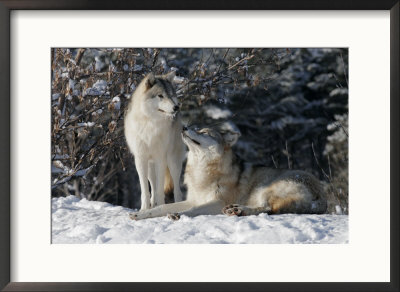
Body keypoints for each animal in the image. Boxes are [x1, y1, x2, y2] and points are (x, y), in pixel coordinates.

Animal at [124, 72, 185, 211]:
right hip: (150, 165)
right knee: (153, 185)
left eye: (171, 94)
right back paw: (153, 205)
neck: (150, 123)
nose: (176, 107)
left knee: (176, 189)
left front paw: (161, 207)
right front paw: (144, 209)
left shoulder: (160, 158)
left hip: (172, 162)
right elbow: (145, 190)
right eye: (160, 96)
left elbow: (160, 189)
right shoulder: (140, 159)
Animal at [130, 124, 326, 220]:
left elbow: (193, 210)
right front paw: (140, 214)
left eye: (204, 132)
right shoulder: (194, 199)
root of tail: (323, 196)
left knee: (268, 209)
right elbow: (162, 207)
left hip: (268, 190)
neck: (202, 170)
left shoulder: (216, 202)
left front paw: (178, 215)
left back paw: (236, 210)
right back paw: (235, 210)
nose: (184, 127)